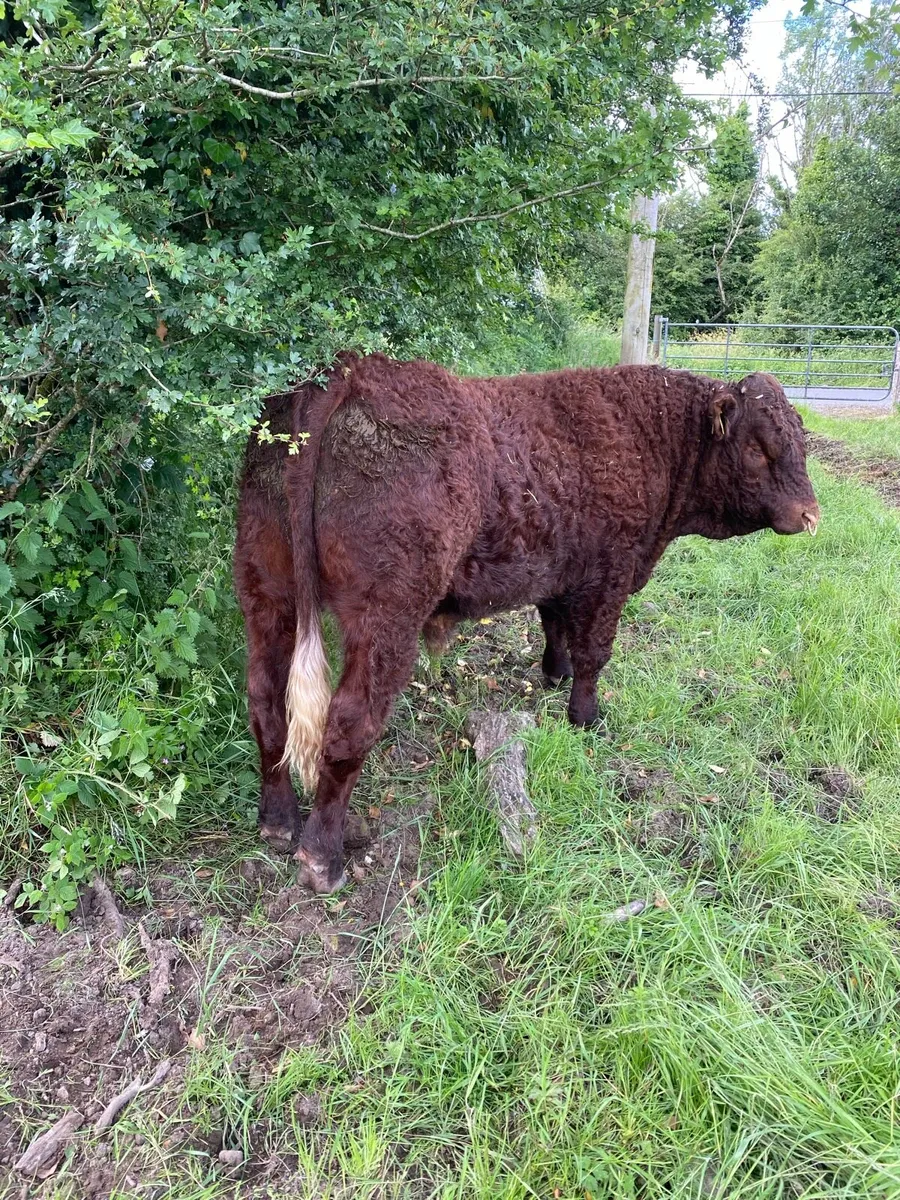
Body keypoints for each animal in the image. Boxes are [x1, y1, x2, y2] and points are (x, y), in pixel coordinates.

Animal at [234, 354, 819, 894]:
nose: (811, 515)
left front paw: (555, 673)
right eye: (757, 448)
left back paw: (277, 822)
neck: (650, 436)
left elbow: (555, 626)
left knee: (266, 701)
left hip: (266, 592)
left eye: (801, 442)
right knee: (347, 724)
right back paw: (322, 857)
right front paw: (586, 717)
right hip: (385, 617)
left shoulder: (562, 571)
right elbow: (595, 653)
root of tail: (351, 370)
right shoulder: (610, 575)